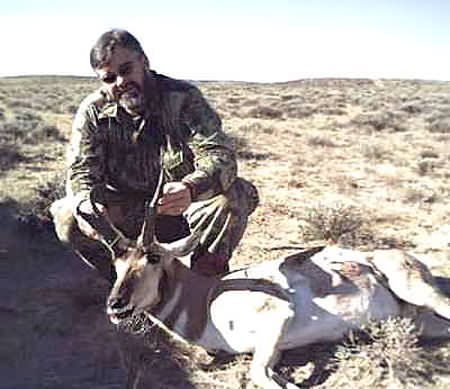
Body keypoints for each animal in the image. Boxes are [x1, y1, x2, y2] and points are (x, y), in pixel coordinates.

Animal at [96, 173, 450, 388]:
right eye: (117, 262)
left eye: (153, 258)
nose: (115, 305)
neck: (205, 300)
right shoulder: (271, 348)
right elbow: (267, 374)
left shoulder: (278, 318)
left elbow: (259, 375)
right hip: (417, 321)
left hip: (418, 292)